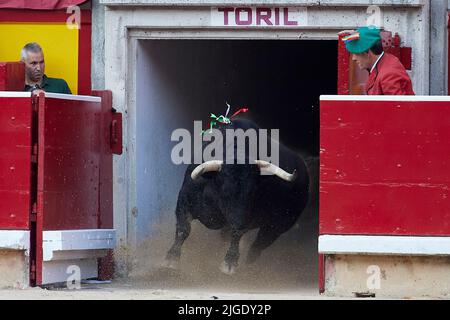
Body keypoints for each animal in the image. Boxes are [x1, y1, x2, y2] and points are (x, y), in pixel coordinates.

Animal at [165, 119, 310, 274]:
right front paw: (171, 258)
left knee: (258, 245)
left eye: (253, 192)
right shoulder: (184, 201)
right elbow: (183, 229)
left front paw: (229, 262)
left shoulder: (243, 219)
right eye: (225, 191)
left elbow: (236, 234)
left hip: (278, 226)